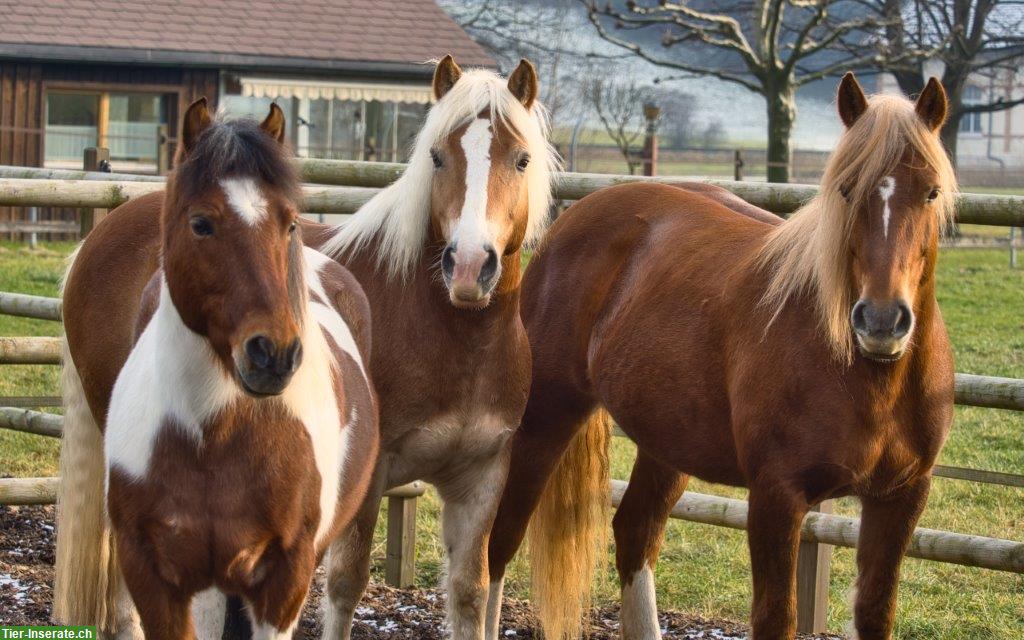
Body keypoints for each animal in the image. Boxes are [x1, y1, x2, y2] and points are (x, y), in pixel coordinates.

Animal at [55, 102, 380, 634]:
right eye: (202, 224)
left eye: (289, 223)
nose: (274, 354)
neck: (213, 434)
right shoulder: (154, 574)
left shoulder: (284, 581)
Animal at [299, 56, 557, 638]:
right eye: (438, 156)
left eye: (522, 159)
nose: (468, 266)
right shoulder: (368, 474)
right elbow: (345, 584)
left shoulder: (482, 478)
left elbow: (469, 592)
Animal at [487, 71, 958, 638]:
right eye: (847, 190)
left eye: (931, 191)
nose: (882, 321)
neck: (871, 380)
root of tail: (575, 217)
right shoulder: (777, 496)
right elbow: (776, 616)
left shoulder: (901, 498)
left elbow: (875, 613)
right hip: (546, 419)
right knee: (499, 541)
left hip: (666, 441)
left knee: (635, 532)